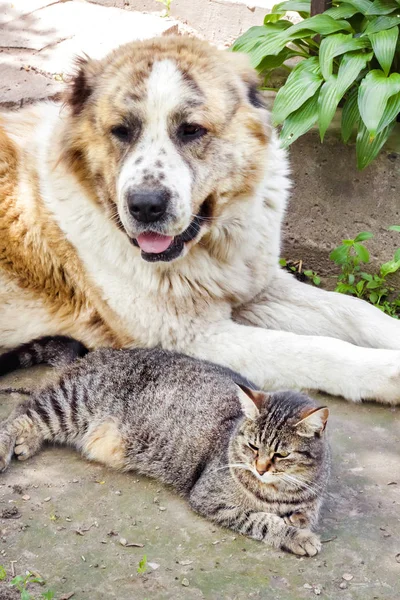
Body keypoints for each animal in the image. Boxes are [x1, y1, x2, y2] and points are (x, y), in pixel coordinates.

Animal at [0, 36, 400, 404]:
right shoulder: (193, 338)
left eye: (191, 130)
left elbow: (354, 310)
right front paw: (387, 372)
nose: (145, 206)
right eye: (122, 131)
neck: (212, 247)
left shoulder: (260, 289)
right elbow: (314, 349)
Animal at [0, 340, 330, 556]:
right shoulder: (210, 498)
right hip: (71, 405)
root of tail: (97, 353)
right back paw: (7, 447)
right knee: (21, 410)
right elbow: (261, 520)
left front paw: (297, 519)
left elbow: (307, 511)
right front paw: (295, 535)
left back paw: (27, 443)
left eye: (281, 454)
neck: (280, 491)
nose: (260, 469)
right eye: (252, 447)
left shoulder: (310, 497)